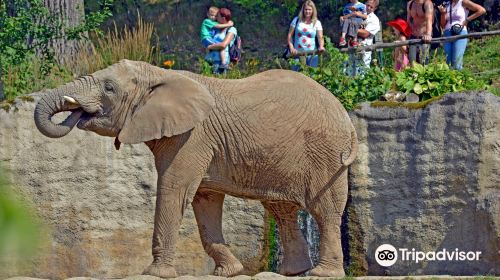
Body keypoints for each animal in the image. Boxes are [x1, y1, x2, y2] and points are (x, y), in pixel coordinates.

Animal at [33, 59, 358, 278]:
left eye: (109, 88)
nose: (76, 113)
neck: (160, 74)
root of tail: (345, 114)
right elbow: (205, 201)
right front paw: (228, 272)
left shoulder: (192, 137)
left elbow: (174, 191)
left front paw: (154, 273)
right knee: (281, 208)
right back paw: (291, 272)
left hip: (324, 154)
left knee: (324, 210)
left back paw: (322, 274)